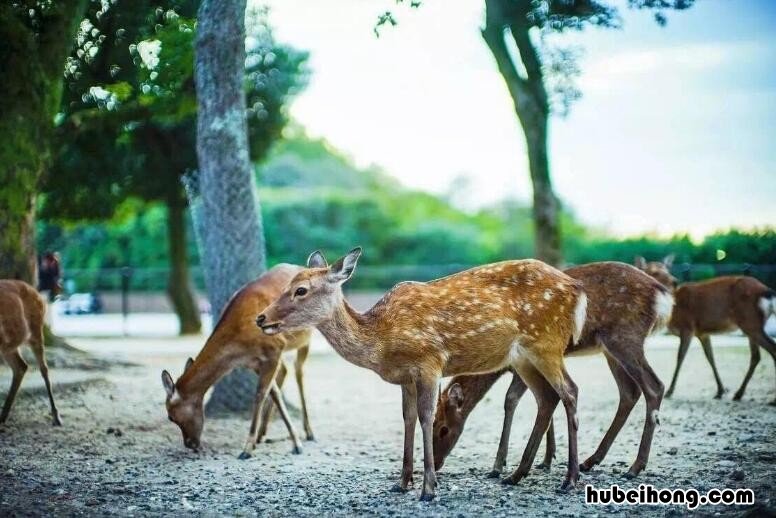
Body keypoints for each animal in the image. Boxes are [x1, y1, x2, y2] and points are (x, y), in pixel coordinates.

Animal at [0, 280, 61, 426]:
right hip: (10, 346)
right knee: (21, 366)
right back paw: (3, 416)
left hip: (36, 331)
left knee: (44, 369)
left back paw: (56, 417)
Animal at [161, 264, 316, 460]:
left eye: (170, 416)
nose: (190, 444)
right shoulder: (256, 362)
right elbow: (274, 393)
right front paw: (266, 440)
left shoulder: (274, 347)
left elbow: (259, 395)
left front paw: (248, 448)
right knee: (285, 371)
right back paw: (262, 434)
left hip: (307, 337)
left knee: (298, 371)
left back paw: (309, 432)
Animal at [258, 250, 584, 502]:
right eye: (289, 284)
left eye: (301, 290)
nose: (261, 318)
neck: (382, 341)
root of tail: (576, 289)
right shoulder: (406, 377)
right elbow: (408, 418)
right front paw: (402, 483)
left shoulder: (429, 362)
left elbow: (426, 417)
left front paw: (429, 488)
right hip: (523, 357)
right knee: (547, 397)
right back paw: (516, 475)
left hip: (546, 342)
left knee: (570, 391)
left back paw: (570, 478)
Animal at [430, 264, 672, 484]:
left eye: (443, 429)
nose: (437, 463)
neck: (497, 369)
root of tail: (663, 295)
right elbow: (543, 402)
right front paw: (546, 459)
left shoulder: (520, 364)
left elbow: (511, 400)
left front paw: (499, 465)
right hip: (610, 349)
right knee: (629, 392)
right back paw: (591, 460)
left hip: (625, 337)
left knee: (654, 386)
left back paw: (634, 467)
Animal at [636, 256, 776, 406]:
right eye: (654, 272)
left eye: (667, 269)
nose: (674, 281)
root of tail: (767, 292)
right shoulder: (702, 333)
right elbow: (710, 357)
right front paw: (720, 391)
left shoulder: (688, 327)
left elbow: (680, 357)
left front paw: (670, 391)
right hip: (750, 324)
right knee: (756, 356)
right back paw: (738, 394)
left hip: (750, 321)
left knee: (770, 349)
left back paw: (771, 399)